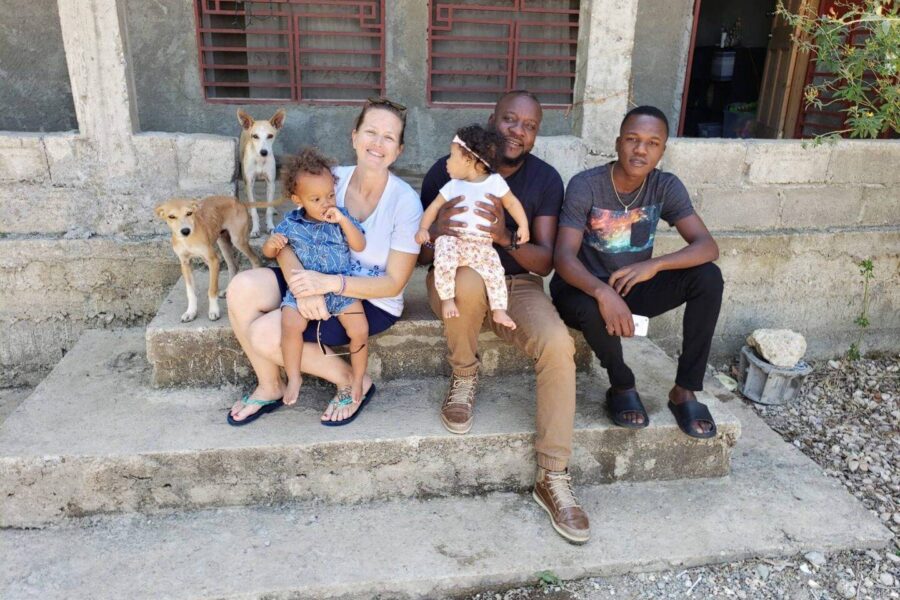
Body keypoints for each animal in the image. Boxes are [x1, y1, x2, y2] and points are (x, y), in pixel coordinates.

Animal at [238, 108, 286, 237]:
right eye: (255, 136)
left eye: (270, 136)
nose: (264, 152)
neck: (260, 159)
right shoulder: (249, 181)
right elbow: (254, 210)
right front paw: (255, 229)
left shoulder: (270, 182)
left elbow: (268, 209)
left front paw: (270, 226)